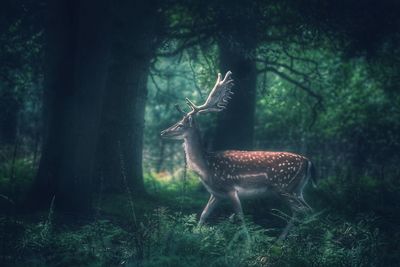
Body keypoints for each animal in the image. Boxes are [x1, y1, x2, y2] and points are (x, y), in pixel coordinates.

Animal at [160, 70, 316, 239]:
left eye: (180, 125)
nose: (163, 132)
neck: (206, 168)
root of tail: (308, 162)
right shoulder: (216, 193)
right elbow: (203, 214)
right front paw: (193, 235)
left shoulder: (230, 188)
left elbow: (241, 216)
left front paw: (248, 242)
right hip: (297, 189)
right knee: (305, 210)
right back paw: (285, 239)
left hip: (284, 187)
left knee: (303, 210)